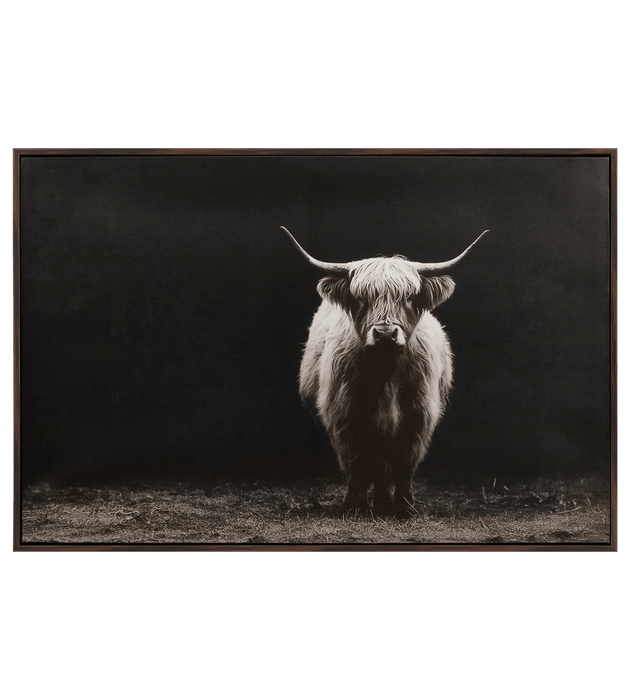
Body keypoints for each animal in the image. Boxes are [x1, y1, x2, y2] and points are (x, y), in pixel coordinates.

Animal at [282, 225, 489, 518]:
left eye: (409, 297)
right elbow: (355, 463)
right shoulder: (344, 414)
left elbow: (404, 463)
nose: (385, 333)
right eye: (361, 298)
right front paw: (355, 505)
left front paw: (403, 506)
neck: (386, 373)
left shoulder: (418, 416)